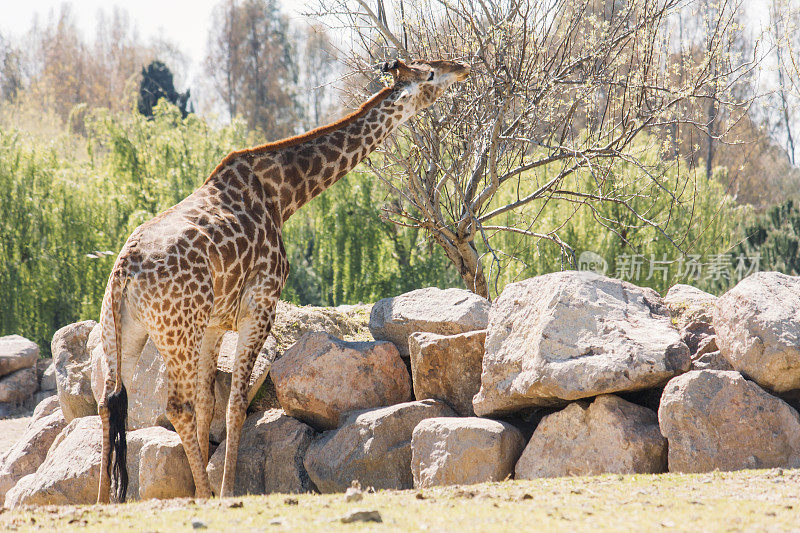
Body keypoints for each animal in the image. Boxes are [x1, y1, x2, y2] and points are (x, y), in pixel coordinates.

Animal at [95, 59, 468, 502]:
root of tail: (124, 271)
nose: (463, 67)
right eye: (430, 75)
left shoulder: (214, 324)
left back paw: (101, 501)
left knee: (109, 401)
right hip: (177, 330)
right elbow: (235, 404)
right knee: (175, 406)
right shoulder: (259, 306)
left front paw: (207, 483)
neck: (283, 194)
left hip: (123, 330)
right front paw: (223, 492)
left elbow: (209, 404)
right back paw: (199, 495)